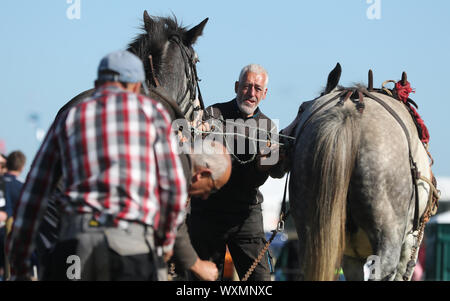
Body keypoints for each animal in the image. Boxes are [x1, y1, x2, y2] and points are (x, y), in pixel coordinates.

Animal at [284, 63, 434, 282]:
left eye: (301, 108)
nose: (282, 134)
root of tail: (347, 114)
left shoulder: (350, 254)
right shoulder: (410, 240)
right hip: (388, 232)